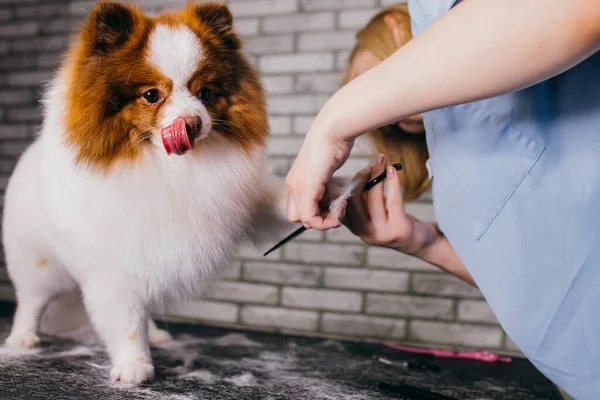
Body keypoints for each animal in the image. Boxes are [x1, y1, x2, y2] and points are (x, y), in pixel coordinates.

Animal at [1, 1, 292, 384]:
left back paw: (155, 332)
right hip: (39, 263)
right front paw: (134, 365)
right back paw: (22, 338)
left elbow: (271, 197)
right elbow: (125, 320)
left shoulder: (239, 197)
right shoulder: (114, 263)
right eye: (151, 95)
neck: (167, 166)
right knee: (31, 301)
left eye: (206, 93)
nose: (193, 123)